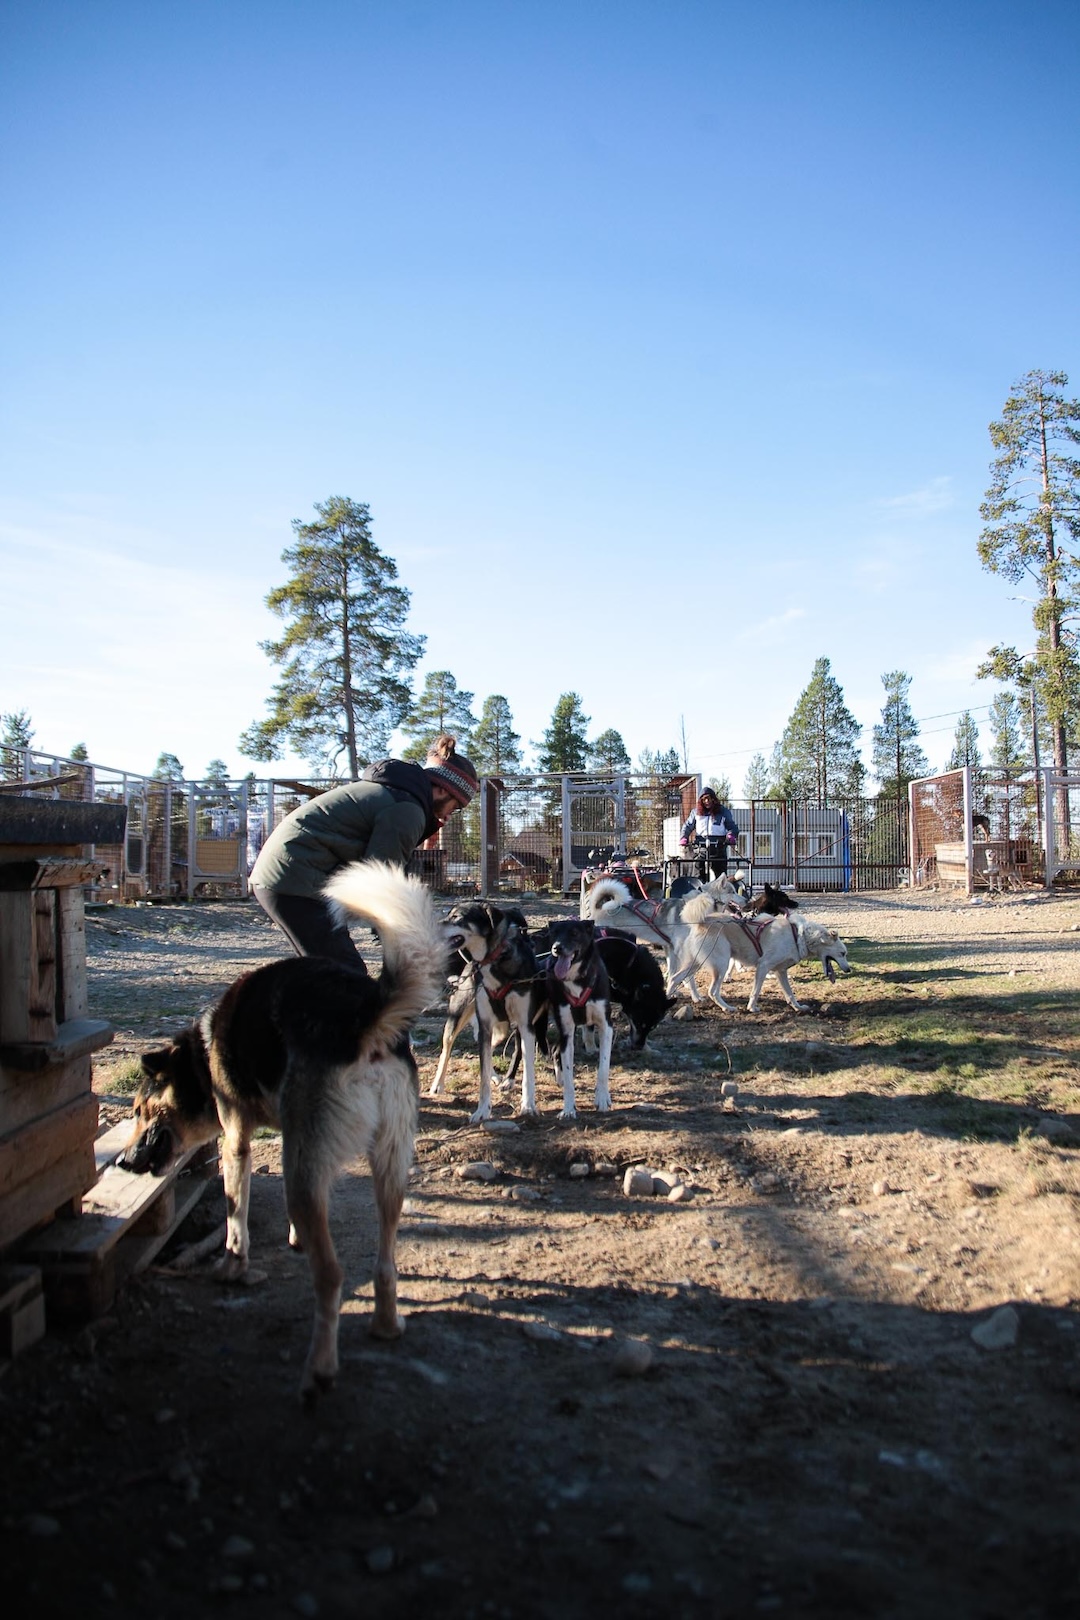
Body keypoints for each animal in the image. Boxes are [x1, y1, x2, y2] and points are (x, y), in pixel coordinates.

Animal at [120, 861, 450, 1406]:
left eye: (141, 1110)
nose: (124, 1162)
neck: (200, 1057)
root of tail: (362, 1018)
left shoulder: (237, 1141)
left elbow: (235, 1216)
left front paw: (232, 1268)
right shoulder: (299, 1149)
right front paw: (295, 1238)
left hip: (305, 1169)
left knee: (332, 1277)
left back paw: (318, 1371)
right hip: (387, 1168)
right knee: (384, 1261)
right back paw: (386, 1326)